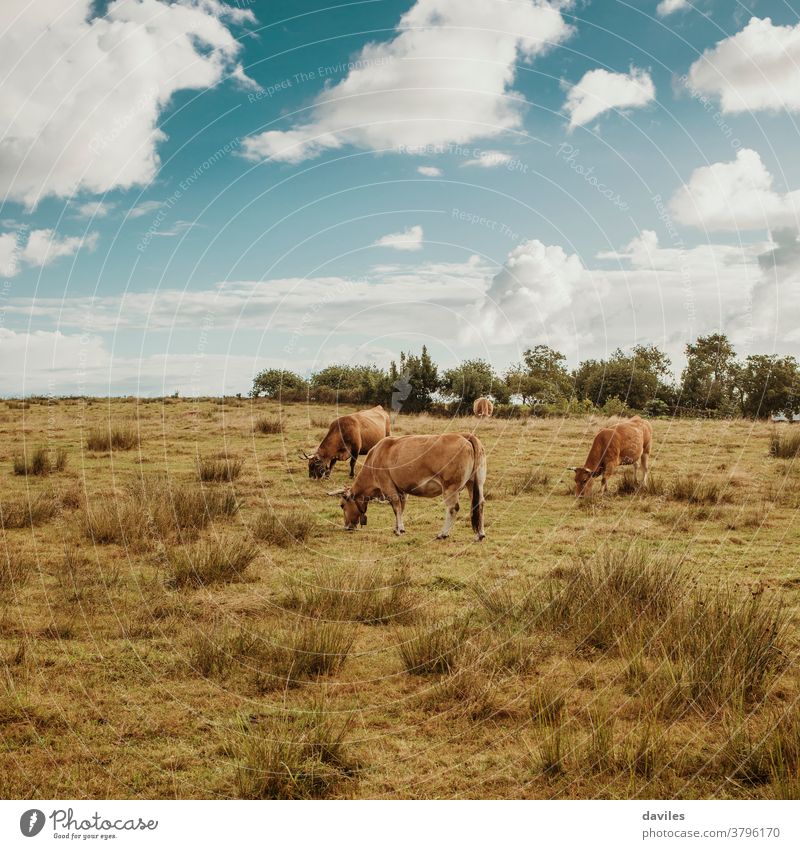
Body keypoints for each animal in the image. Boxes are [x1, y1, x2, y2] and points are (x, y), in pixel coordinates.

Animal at [326, 434, 488, 540]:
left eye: (342, 505)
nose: (347, 527)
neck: (376, 456)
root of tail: (465, 436)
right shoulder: (402, 490)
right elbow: (401, 508)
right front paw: (396, 527)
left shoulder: (387, 486)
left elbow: (396, 507)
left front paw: (400, 530)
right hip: (475, 483)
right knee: (479, 504)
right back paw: (480, 534)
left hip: (450, 487)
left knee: (453, 508)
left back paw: (443, 533)